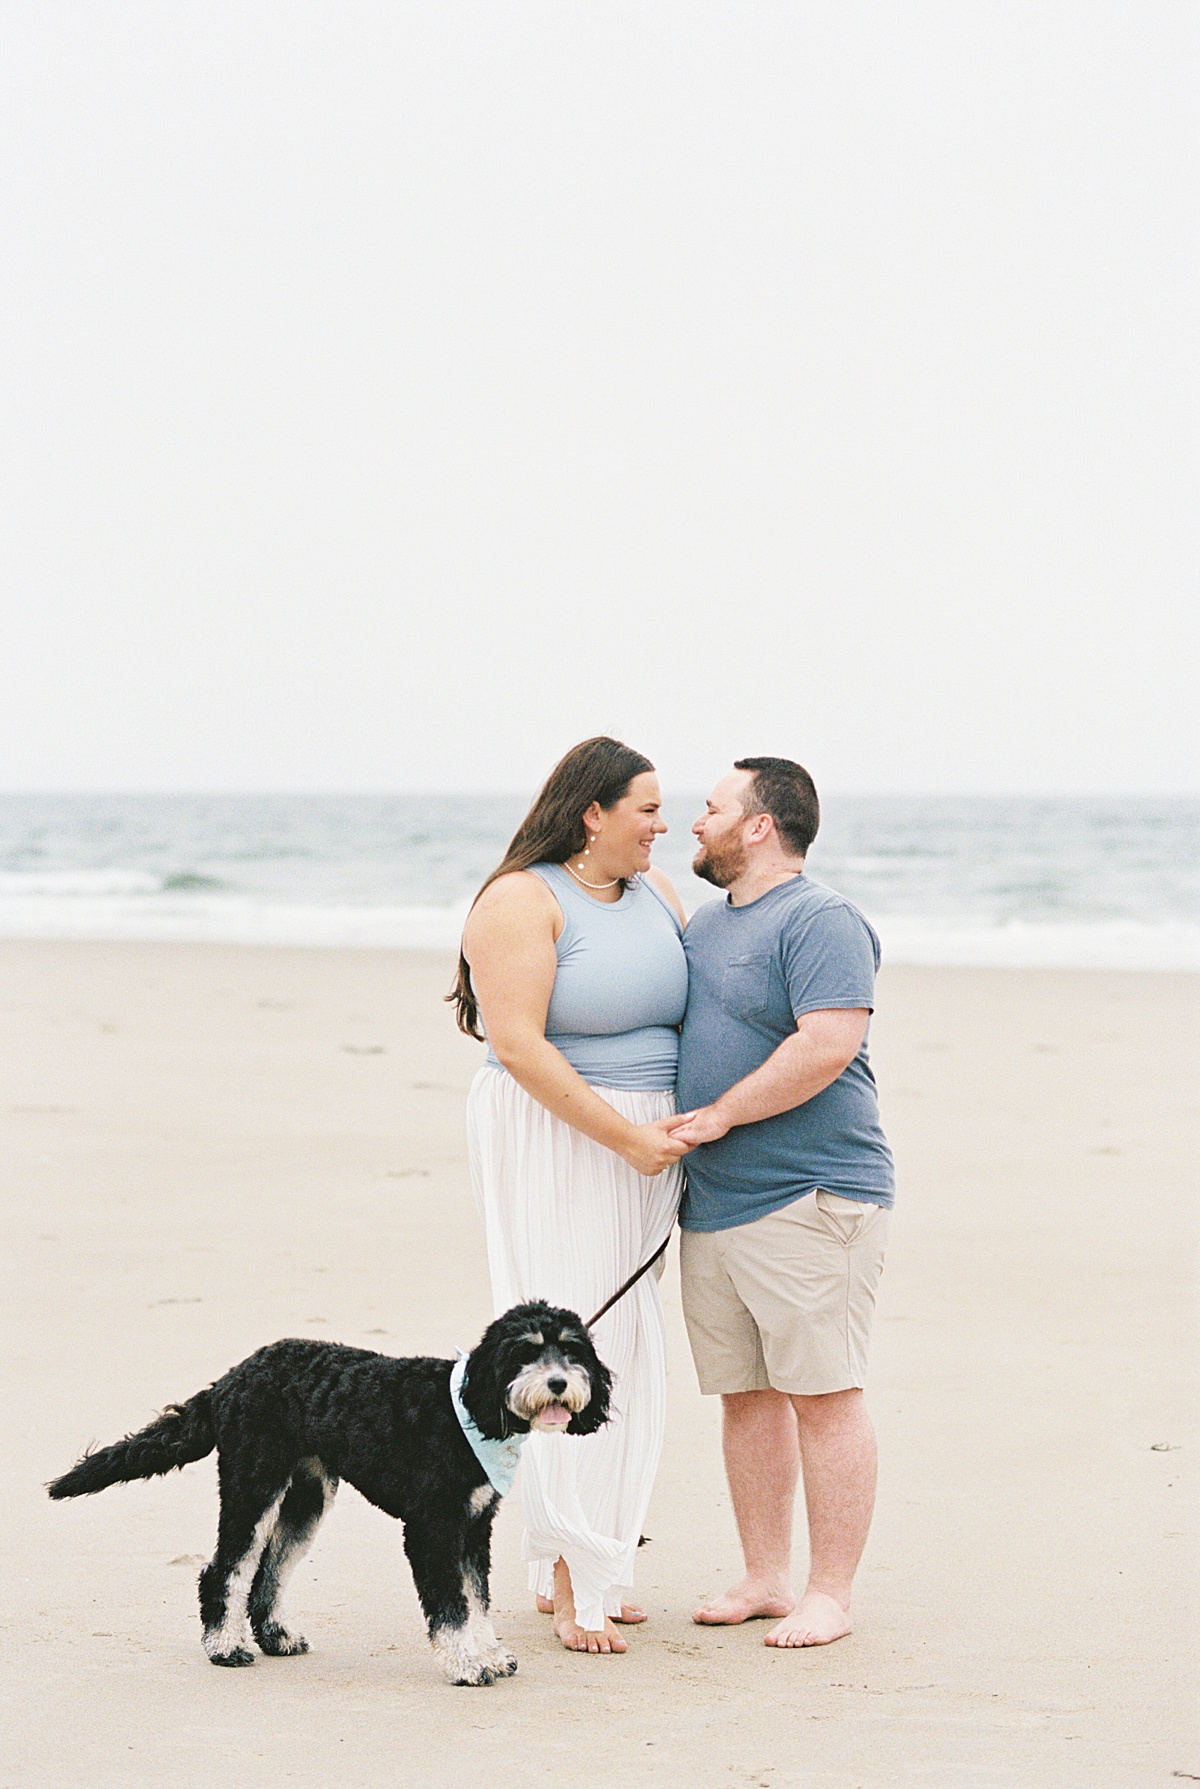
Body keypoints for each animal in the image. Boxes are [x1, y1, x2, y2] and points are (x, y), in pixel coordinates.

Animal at [46, 1309, 611, 1681]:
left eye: (572, 1350)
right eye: (526, 1352)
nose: (559, 1383)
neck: (471, 1409)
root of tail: (230, 1380)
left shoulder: (473, 1527)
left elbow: (477, 1599)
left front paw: (489, 1654)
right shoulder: (433, 1529)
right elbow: (452, 1607)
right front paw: (467, 1664)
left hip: (306, 1500)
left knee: (268, 1572)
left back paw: (275, 1637)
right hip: (253, 1486)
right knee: (225, 1570)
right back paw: (224, 1647)